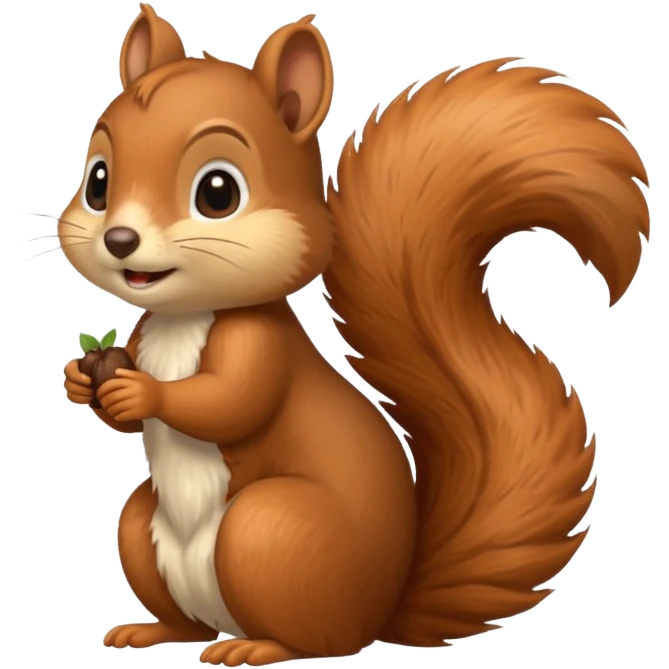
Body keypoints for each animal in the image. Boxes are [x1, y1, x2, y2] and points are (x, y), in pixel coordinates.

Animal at [61, 3, 650, 666]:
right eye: (99, 180)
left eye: (218, 192)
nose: (120, 240)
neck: (187, 316)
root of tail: (383, 609)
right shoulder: (142, 336)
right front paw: (83, 381)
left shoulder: (259, 345)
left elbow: (231, 401)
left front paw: (143, 392)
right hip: (143, 528)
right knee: (182, 609)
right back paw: (153, 630)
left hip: (270, 532)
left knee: (315, 638)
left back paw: (257, 646)